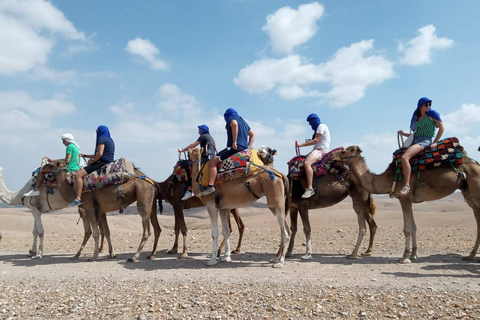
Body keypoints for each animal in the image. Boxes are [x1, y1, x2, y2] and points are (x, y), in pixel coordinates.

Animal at [332, 146, 480, 264]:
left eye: (343, 151)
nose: (332, 156)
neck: (388, 178)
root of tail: (476, 164)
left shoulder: (404, 198)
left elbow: (407, 228)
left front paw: (405, 257)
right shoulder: (409, 201)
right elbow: (414, 227)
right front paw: (414, 254)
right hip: (467, 192)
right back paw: (470, 256)